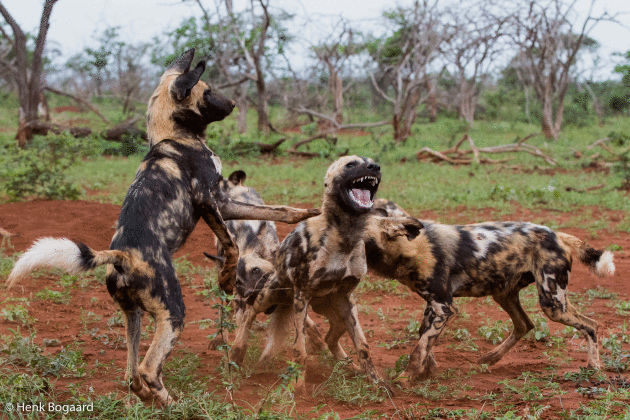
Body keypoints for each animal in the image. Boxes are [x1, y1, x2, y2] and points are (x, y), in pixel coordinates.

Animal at [205, 169, 328, 366]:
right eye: (239, 282)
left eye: (256, 271)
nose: (250, 294)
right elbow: (242, 323)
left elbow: (307, 322)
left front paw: (318, 344)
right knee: (224, 307)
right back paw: (220, 337)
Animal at [368, 199, 616, 386]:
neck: (408, 247)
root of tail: (558, 235)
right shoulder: (434, 306)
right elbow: (424, 339)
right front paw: (426, 371)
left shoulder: (443, 307)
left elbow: (418, 348)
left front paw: (406, 378)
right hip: (505, 294)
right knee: (525, 324)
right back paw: (491, 358)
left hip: (552, 305)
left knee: (591, 325)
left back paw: (594, 367)